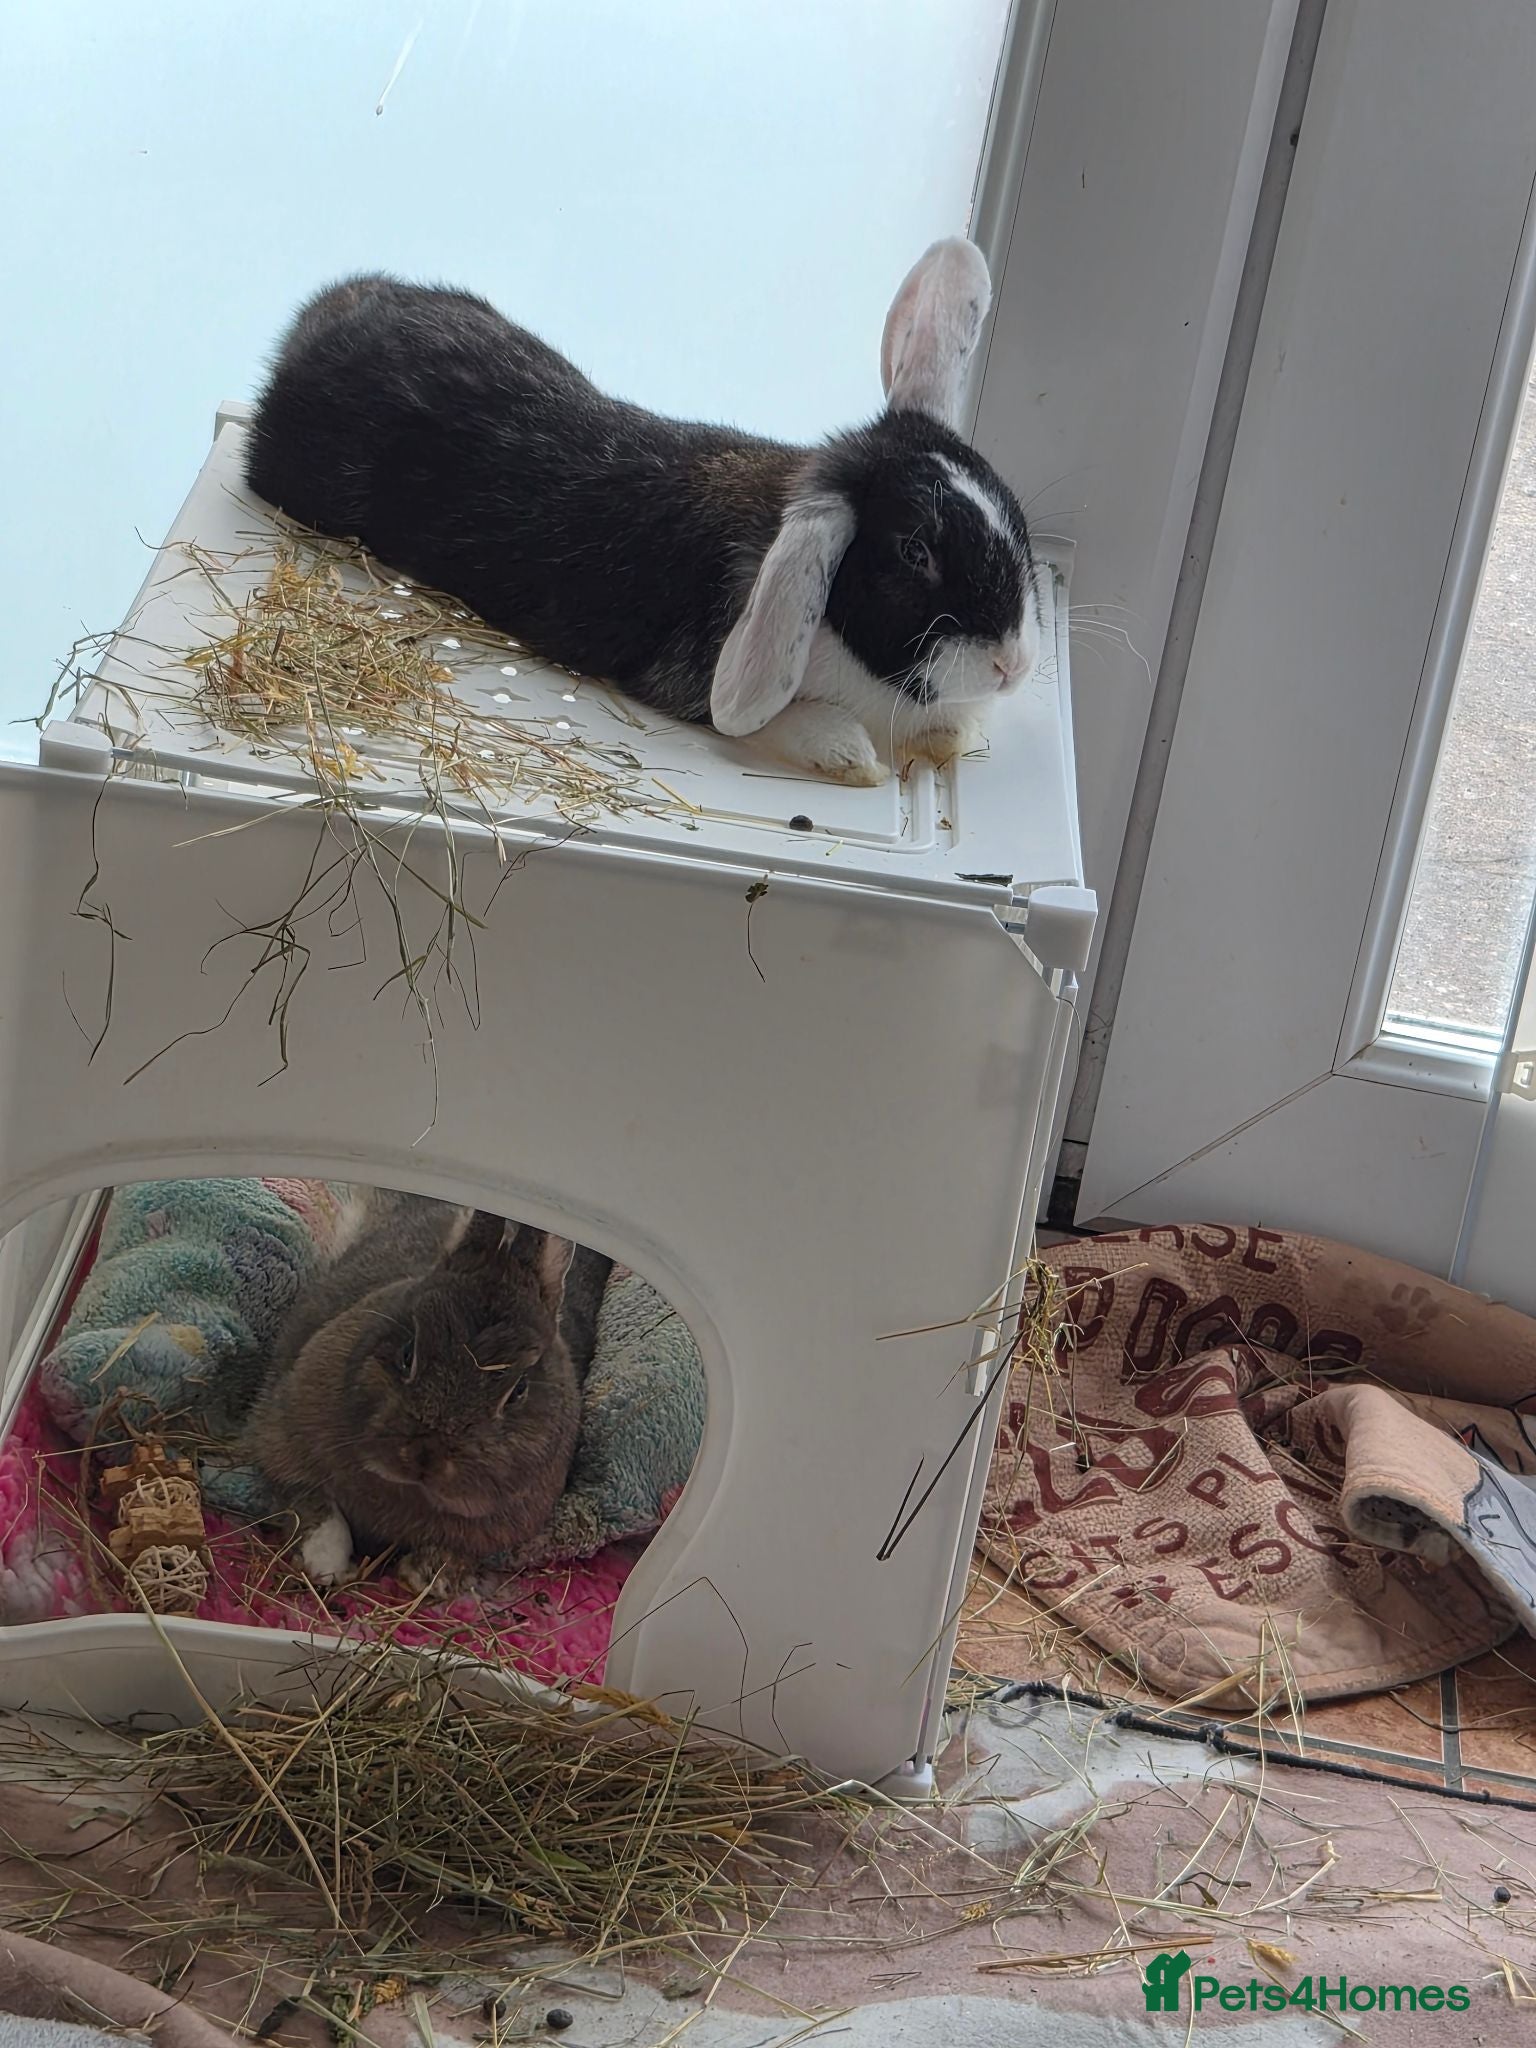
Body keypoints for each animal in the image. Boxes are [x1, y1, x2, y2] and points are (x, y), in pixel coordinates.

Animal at [244, 237, 1041, 789]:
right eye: (915, 553)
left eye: (1011, 508)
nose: (1013, 666)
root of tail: (315, 322)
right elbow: (784, 721)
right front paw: (855, 759)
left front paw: (949, 739)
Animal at [245, 1190, 613, 1590]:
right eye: (408, 1353)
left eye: (519, 1390)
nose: (425, 1455)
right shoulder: (282, 1441)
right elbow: (318, 1508)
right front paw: (324, 1565)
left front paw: (426, 1575)